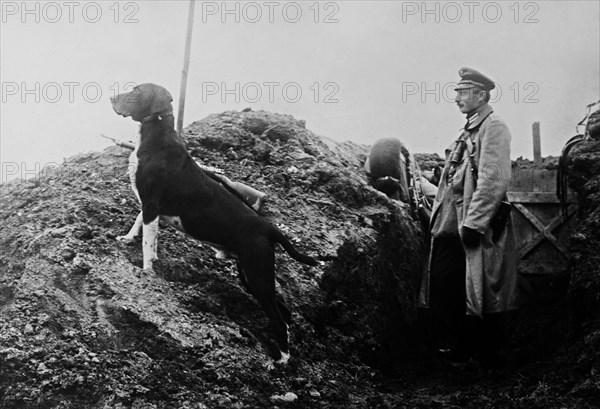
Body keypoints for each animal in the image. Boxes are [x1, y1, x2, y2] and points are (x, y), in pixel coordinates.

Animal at [112, 83, 318, 364]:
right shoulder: (148, 204)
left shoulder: (152, 204)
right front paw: (127, 239)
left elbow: (148, 242)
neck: (156, 136)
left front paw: (146, 270)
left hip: (258, 275)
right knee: (284, 311)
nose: (112, 97)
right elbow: (139, 225)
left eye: (137, 90)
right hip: (250, 275)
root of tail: (269, 227)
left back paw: (282, 359)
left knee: (277, 316)